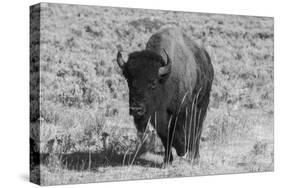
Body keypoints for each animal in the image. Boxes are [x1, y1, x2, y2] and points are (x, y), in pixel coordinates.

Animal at [116, 27, 212, 164]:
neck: (166, 78)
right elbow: (165, 135)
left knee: (198, 128)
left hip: (202, 102)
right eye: (128, 81)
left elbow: (185, 130)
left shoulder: (183, 109)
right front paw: (167, 161)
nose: (136, 109)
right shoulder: (157, 115)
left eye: (153, 83)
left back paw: (195, 156)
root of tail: (206, 58)